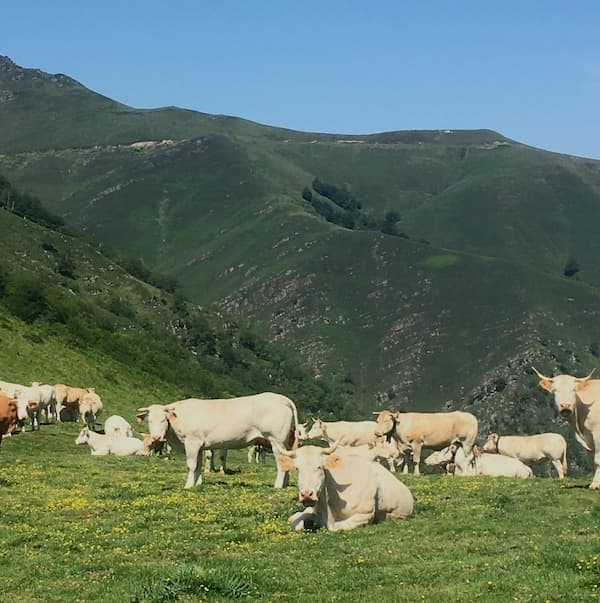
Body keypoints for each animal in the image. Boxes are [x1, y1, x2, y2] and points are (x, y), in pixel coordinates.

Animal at [138, 392, 302, 490]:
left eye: (163, 420)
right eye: (149, 421)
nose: (156, 437)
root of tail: (281, 398)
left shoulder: (192, 442)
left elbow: (191, 466)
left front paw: (188, 485)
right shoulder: (198, 445)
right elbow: (198, 466)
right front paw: (197, 484)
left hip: (276, 440)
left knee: (281, 463)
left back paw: (278, 485)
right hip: (285, 442)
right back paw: (285, 484)